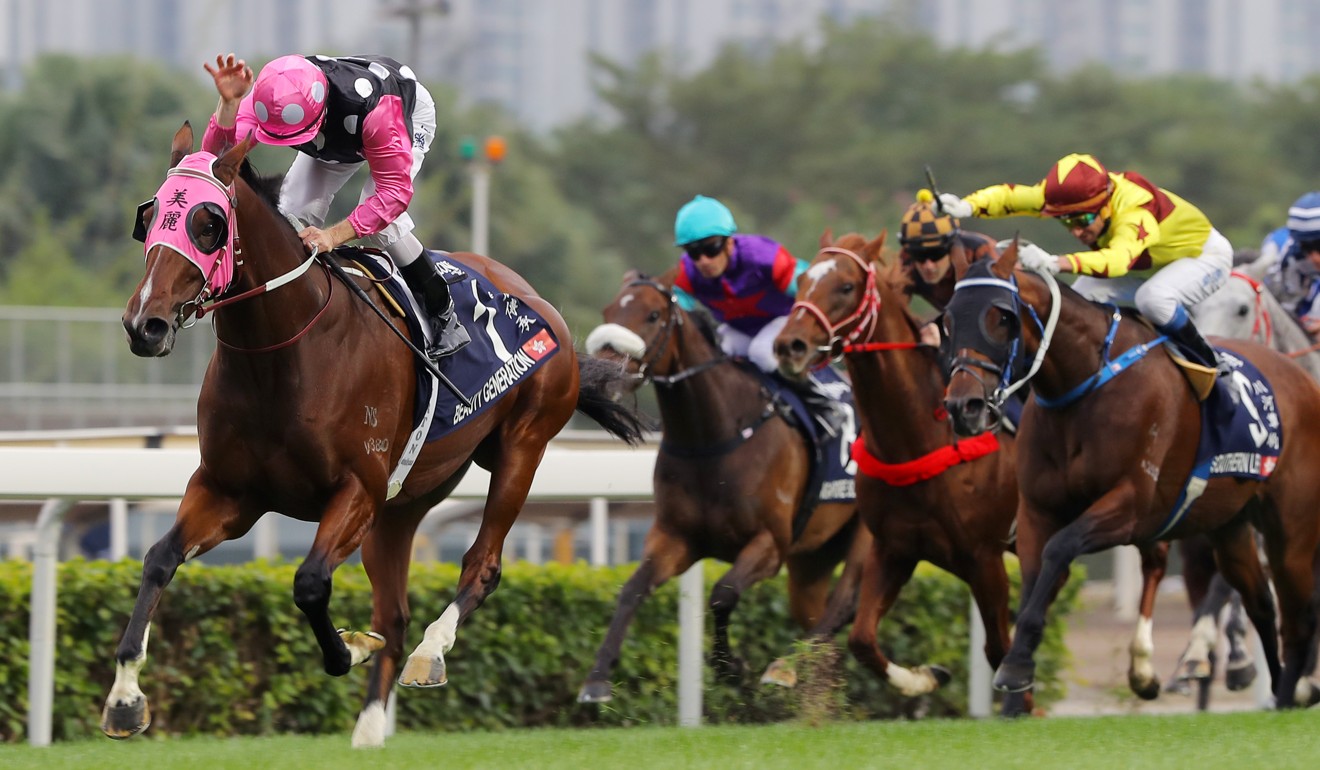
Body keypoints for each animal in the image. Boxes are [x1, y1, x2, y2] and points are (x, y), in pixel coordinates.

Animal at [102, 124, 644, 744]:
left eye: (208, 223)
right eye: (150, 217)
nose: (145, 324)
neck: (284, 353)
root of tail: (541, 307)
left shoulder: (356, 489)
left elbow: (310, 582)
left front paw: (351, 648)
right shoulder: (230, 492)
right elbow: (159, 559)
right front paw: (125, 697)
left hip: (520, 450)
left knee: (481, 565)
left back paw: (429, 654)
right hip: (402, 504)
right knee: (395, 610)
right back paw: (368, 730)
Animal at [578, 270, 865, 702]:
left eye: (653, 314)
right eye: (608, 311)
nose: (603, 373)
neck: (714, 437)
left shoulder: (770, 543)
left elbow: (723, 593)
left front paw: (729, 666)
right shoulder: (675, 538)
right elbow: (632, 589)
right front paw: (597, 678)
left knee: (844, 604)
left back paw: (785, 669)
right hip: (812, 560)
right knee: (823, 630)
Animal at [770, 231, 1029, 718]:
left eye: (846, 286)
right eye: (802, 282)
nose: (789, 346)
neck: (921, 437)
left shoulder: (985, 558)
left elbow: (1001, 649)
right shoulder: (893, 549)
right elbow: (862, 640)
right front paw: (927, 676)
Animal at [945, 244, 1320, 707]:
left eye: (1000, 317)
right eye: (947, 317)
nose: (963, 407)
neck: (1085, 386)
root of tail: (1301, 381)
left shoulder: (1132, 507)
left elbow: (1060, 549)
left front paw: (1015, 668)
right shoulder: (1036, 510)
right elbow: (1036, 579)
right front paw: (1017, 686)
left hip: (1291, 531)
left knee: (1298, 618)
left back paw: (1288, 694)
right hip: (1229, 527)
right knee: (1262, 603)